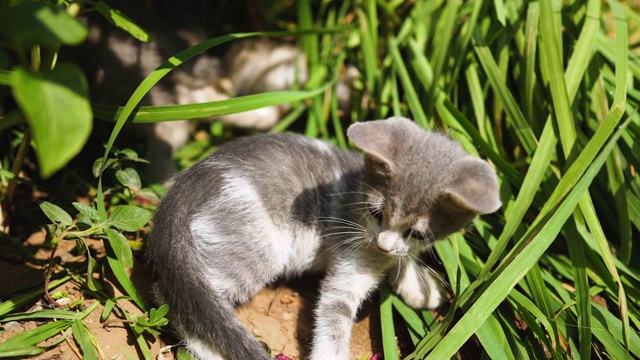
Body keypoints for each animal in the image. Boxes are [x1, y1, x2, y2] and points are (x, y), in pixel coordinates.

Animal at [145, 116, 500, 358]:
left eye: (416, 232)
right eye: (375, 213)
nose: (382, 243)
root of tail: (190, 182)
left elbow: (404, 257)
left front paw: (419, 285)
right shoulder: (350, 264)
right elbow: (334, 317)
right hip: (256, 247)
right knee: (181, 298)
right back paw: (210, 350)